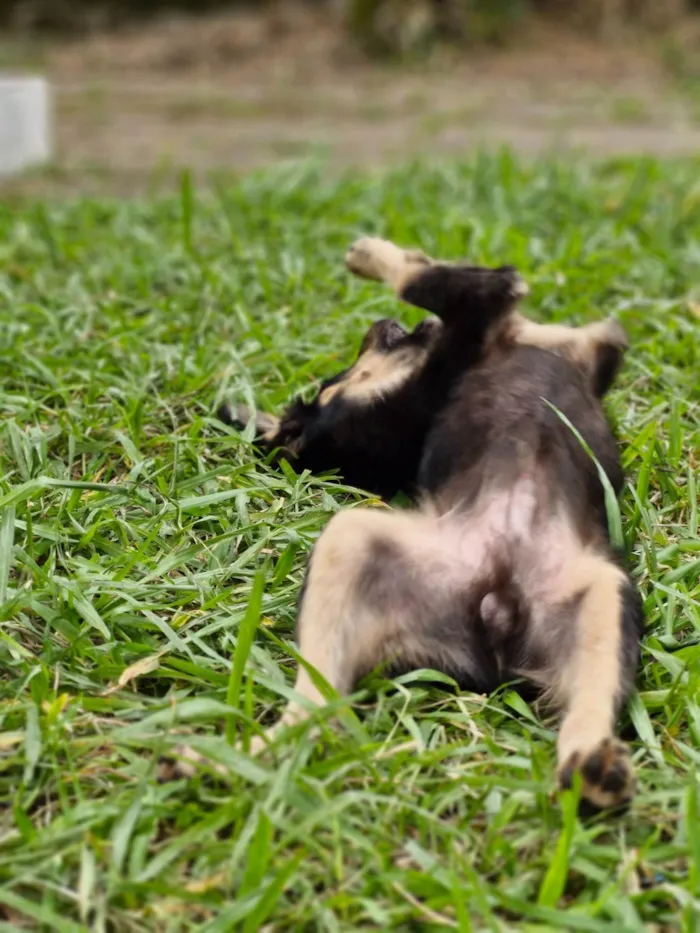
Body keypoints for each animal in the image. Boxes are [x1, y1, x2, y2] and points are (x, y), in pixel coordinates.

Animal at [167, 238, 644, 808]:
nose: (377, 325)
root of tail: (494, 609)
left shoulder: (582, 345)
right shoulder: (487, 306)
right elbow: (430, 278)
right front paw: (372, 253)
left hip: (600, 596)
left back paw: (592, 767)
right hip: (354, 539)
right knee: (316, 707)